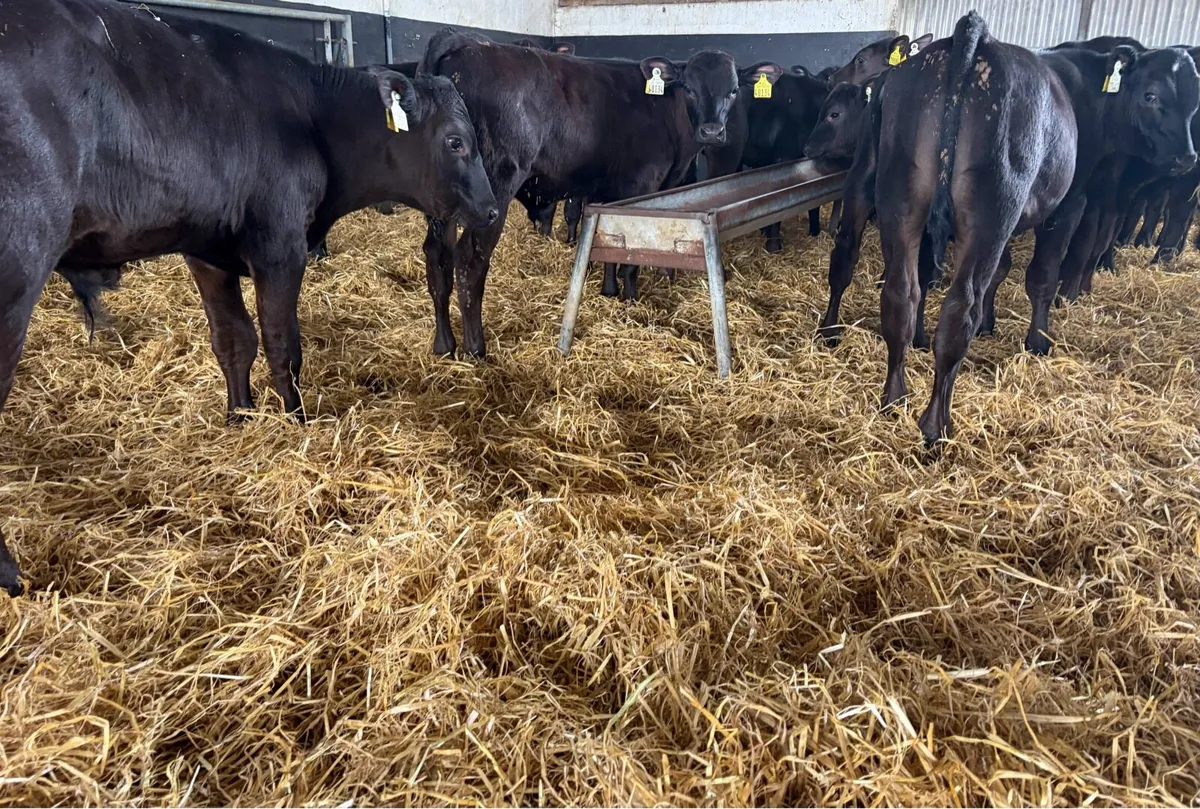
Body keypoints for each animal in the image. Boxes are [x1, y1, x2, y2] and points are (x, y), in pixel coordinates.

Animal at [0, 0, 498, 596]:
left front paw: (241, 416)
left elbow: (233, 341)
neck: (312, 117)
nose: (492, 210)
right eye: (456, 141)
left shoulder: (209, 252)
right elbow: (283, 345)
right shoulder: (281, 246)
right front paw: (296, 423)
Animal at [417, 32, 756, 358]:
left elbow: (605, 244)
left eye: (733, 90)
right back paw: (475, 348)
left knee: (437, 257)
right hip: (491, 194)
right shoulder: (641, 186)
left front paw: (609, 290)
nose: (712, 131)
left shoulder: (605, 192)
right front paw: (631, 299)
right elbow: (630, 254)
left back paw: (444, 344)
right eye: (689, 88)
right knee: (469, 260)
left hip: (441, 206)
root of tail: (466, 42)